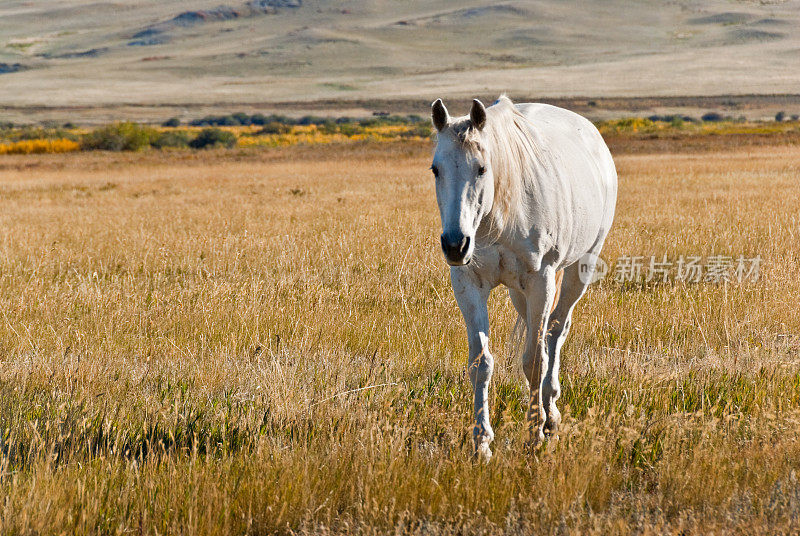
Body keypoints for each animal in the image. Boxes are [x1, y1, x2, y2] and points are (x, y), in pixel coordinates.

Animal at [428, 95, 616, 460]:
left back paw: (550, 411)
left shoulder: (541, 281)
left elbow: (534, 360)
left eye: (482, 168)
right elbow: (482, 363)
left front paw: (535, 433)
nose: (455, 245)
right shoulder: (468, 283)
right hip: (518, 292)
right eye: (435, 169)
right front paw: (482, 442)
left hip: (580, 267)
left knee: (555, 331)